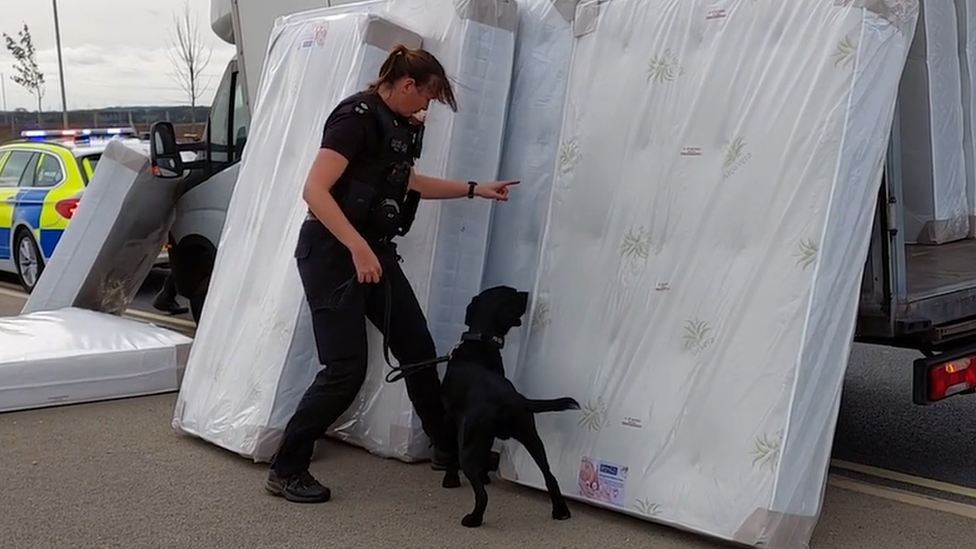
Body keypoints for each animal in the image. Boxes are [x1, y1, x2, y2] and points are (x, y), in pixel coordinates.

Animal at [436, 284, 576, 524]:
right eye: (512, 293)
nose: (527, 293)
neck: (480, 340)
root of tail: (512, 398)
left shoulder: (452, 419)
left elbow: (452, 453)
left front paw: (451, 479)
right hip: (532, 438)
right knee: (549, 475)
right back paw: (560, 510)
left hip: (470, 447)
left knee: (482, 495)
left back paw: (473, 519)